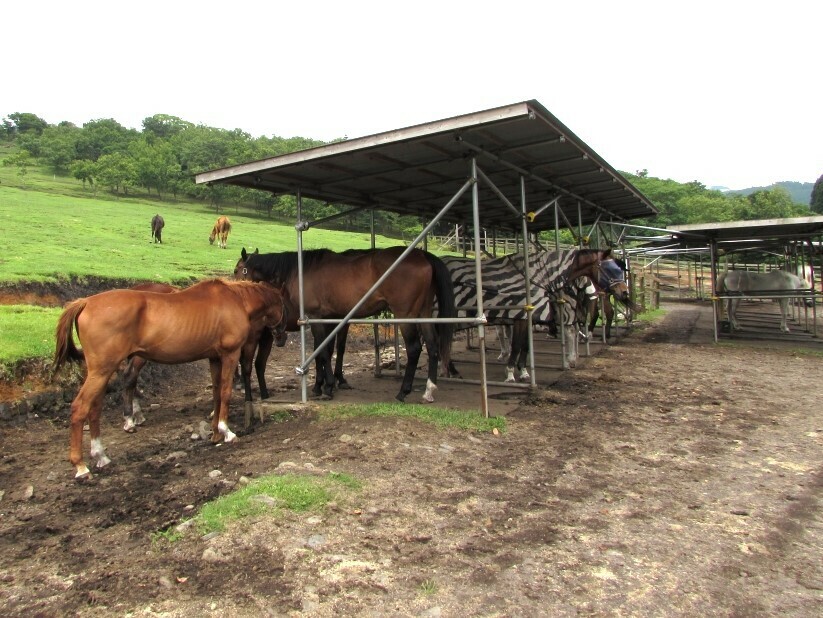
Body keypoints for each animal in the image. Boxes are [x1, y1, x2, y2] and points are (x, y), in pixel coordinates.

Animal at [53, 278, 286, 476]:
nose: (282, 336)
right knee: (80, 407)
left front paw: (215, 433)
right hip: (102, 371)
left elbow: (217, 393)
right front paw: (225, 431)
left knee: (95, 409)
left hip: (102, 372)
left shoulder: (214, 358)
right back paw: (81, 465)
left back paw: (101, 454)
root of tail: (85, 302)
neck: (237, 300)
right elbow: (226, 392)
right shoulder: (230, 354)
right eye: (285, 306)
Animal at [235, 245, 460, 404]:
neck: (300, 270)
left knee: (414, 349)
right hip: (424, 314)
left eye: (238, 269)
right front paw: (322, 385)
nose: (234, 287)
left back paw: (403, 392)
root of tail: (423, 255)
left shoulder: (316, 317)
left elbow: (323, 352)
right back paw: (429, 391)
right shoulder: (329, 319)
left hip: (405, 316)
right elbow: (325, 350)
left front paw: (328, 387)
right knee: (432, 347)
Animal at [440, 248, 608, 378]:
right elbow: (515, 343)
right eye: (609, 266)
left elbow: (524, 344)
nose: (600, 292)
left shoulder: (525, 317)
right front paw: (510, 371)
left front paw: (522, 369)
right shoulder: (519, 316)